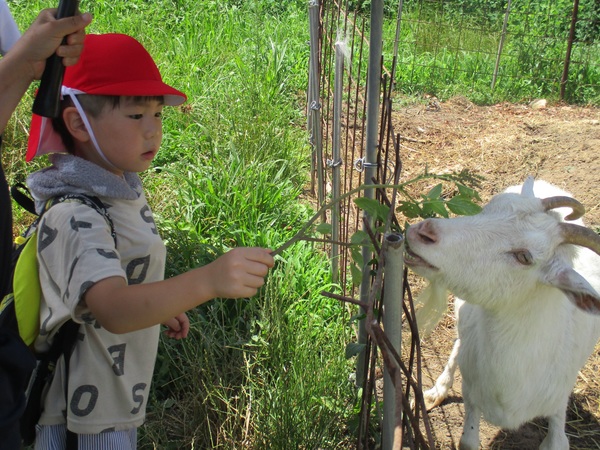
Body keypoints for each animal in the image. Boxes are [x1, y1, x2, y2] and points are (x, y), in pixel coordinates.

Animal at [404, 178, 600, 450]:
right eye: (486, 210)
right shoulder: (472, 392)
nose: (423, 232)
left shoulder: (558, 402)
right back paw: (436, 391)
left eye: (524, 256)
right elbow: (468, 441)